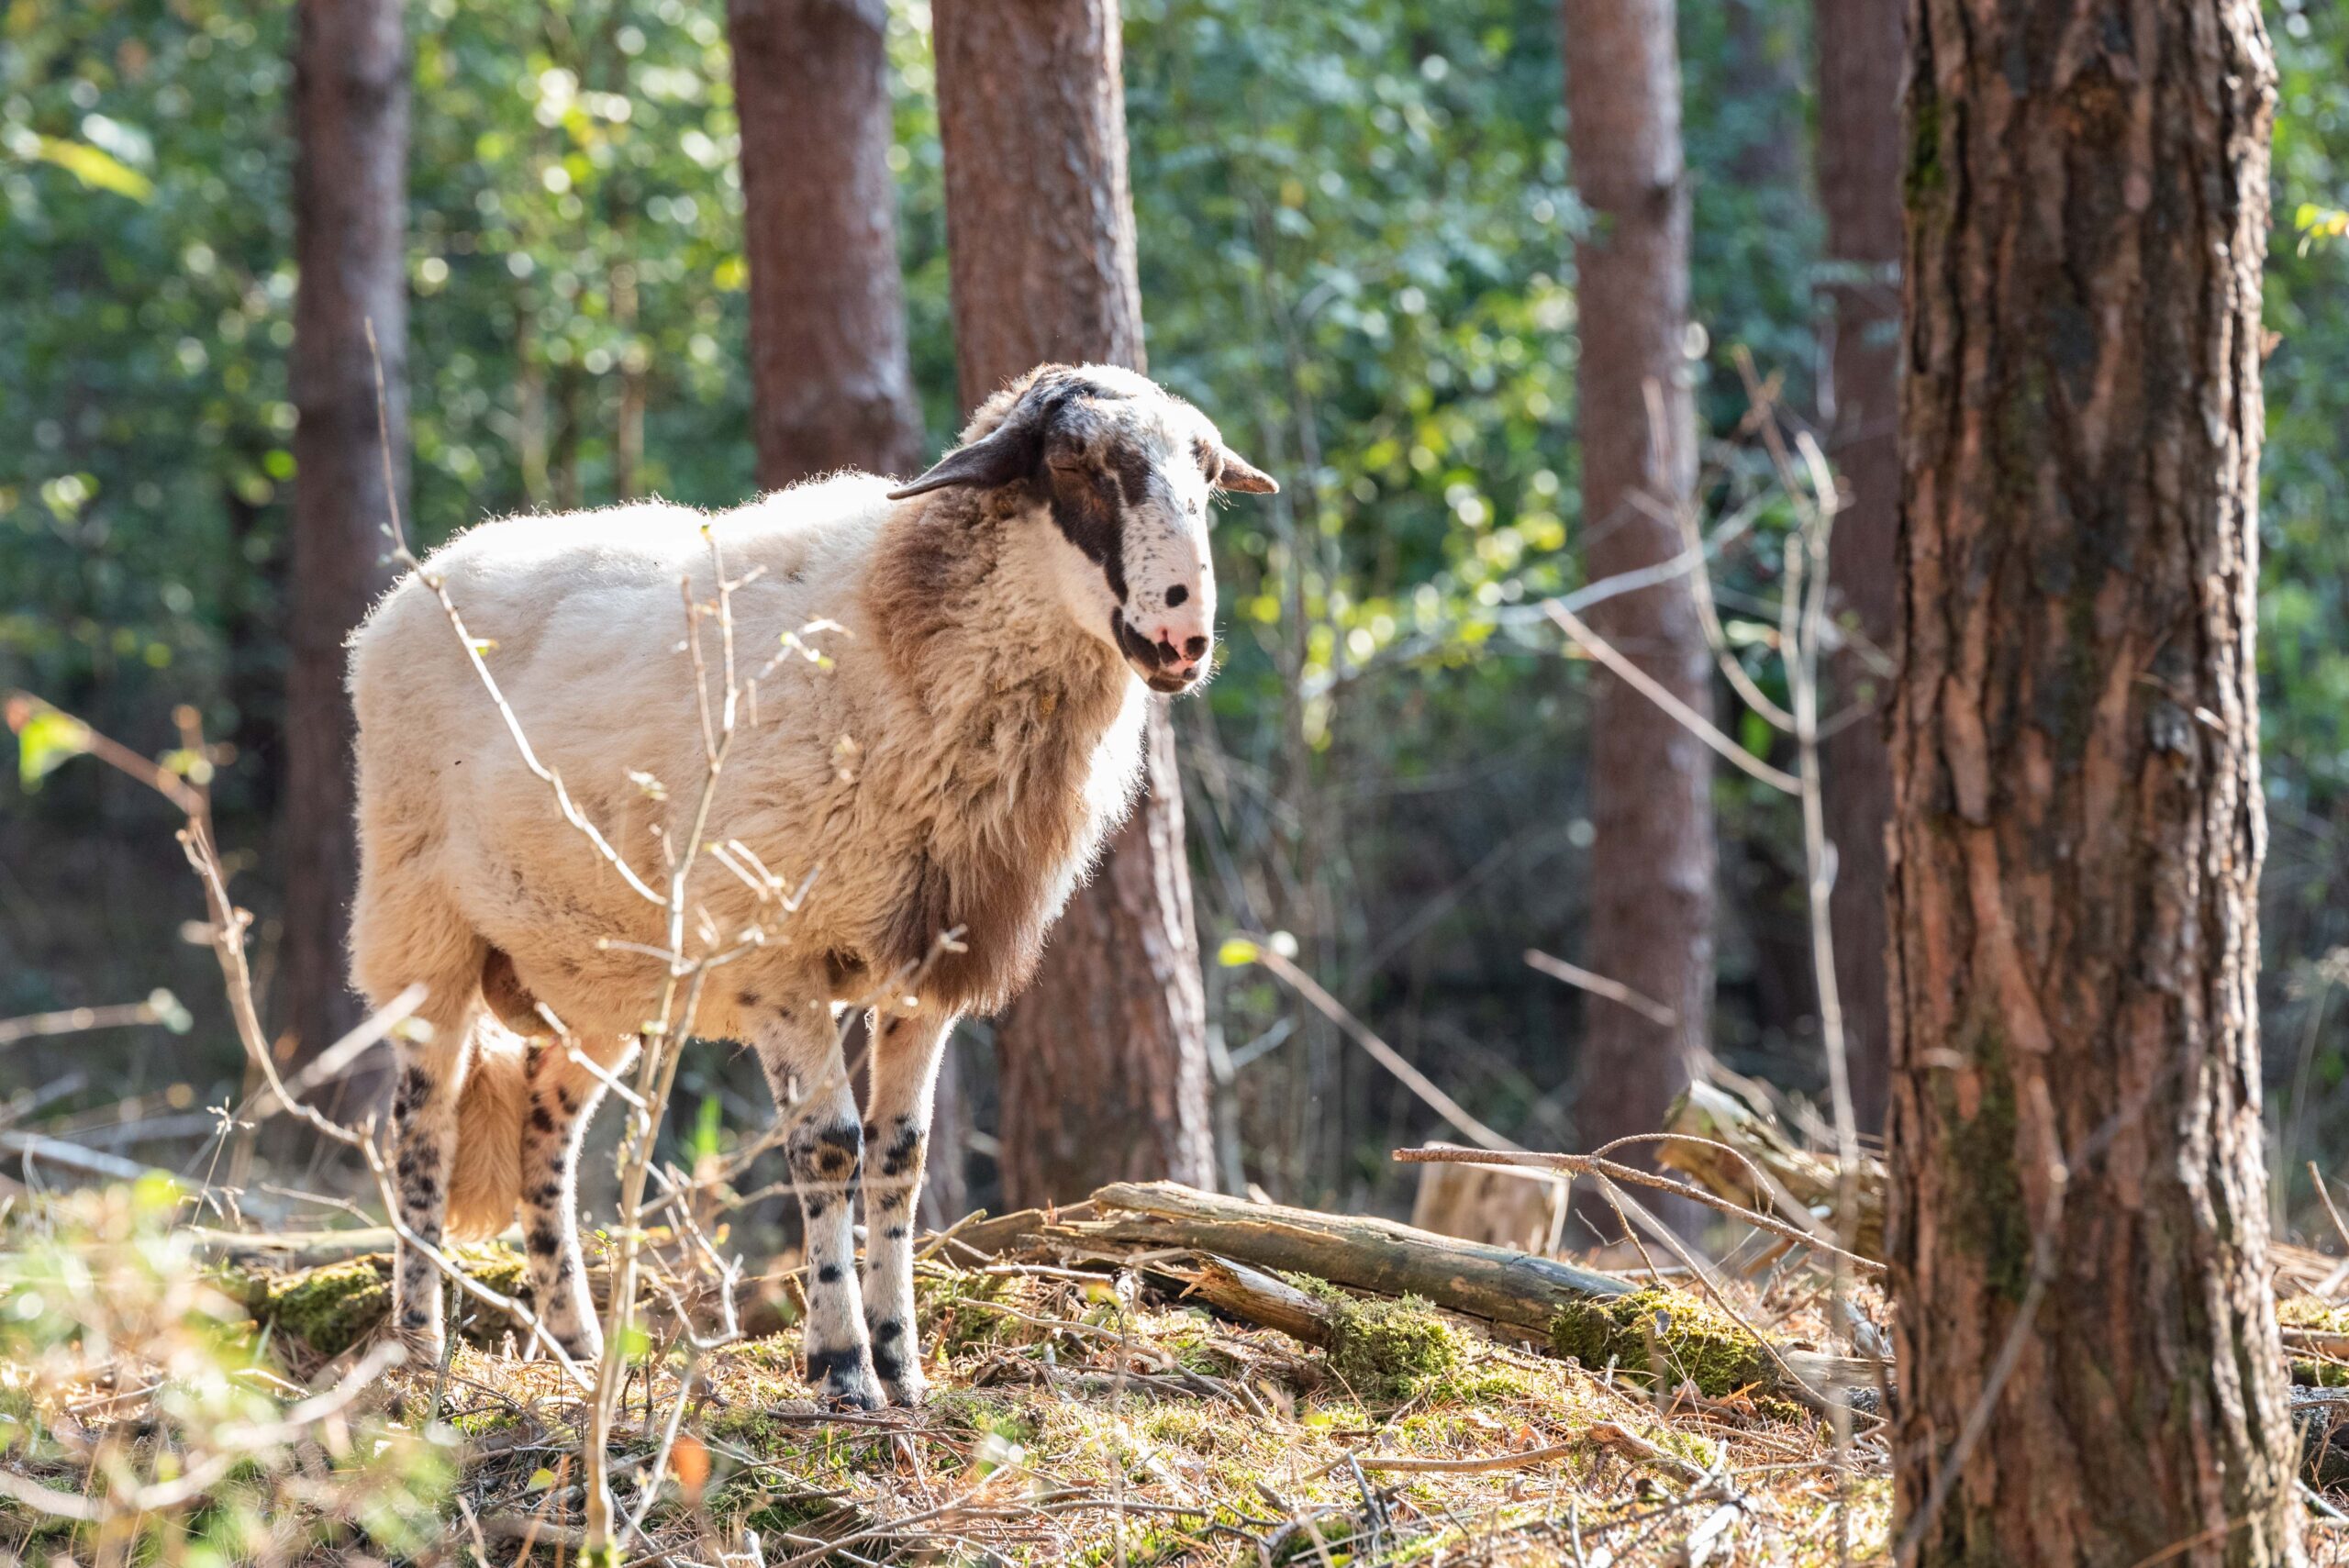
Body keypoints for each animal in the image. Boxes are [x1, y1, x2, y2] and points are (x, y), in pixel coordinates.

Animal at [340, 368, 1277, 1408]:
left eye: (1207, 474)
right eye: (1076, 464)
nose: (1183, 634)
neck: (895, 630)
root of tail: (419, 580)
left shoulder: (926, 962)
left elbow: (901, 1156)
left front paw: (903, 1366)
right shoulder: (776, 956)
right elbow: (830, 1145)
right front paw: (841, 1368)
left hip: (595, 972)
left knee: (547, 1122)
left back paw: (576, 1344)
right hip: (420, 922)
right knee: (420, 1129)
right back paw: (417, 1353)